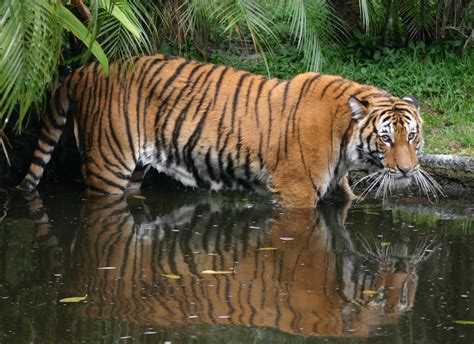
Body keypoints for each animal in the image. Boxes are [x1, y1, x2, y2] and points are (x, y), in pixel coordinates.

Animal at [17, 53, 434, 204]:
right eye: (386, 138)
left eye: (412, 136)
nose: (407, 170)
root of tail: (86, 69)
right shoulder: (296, 192)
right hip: (107, 166)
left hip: (133, 171)